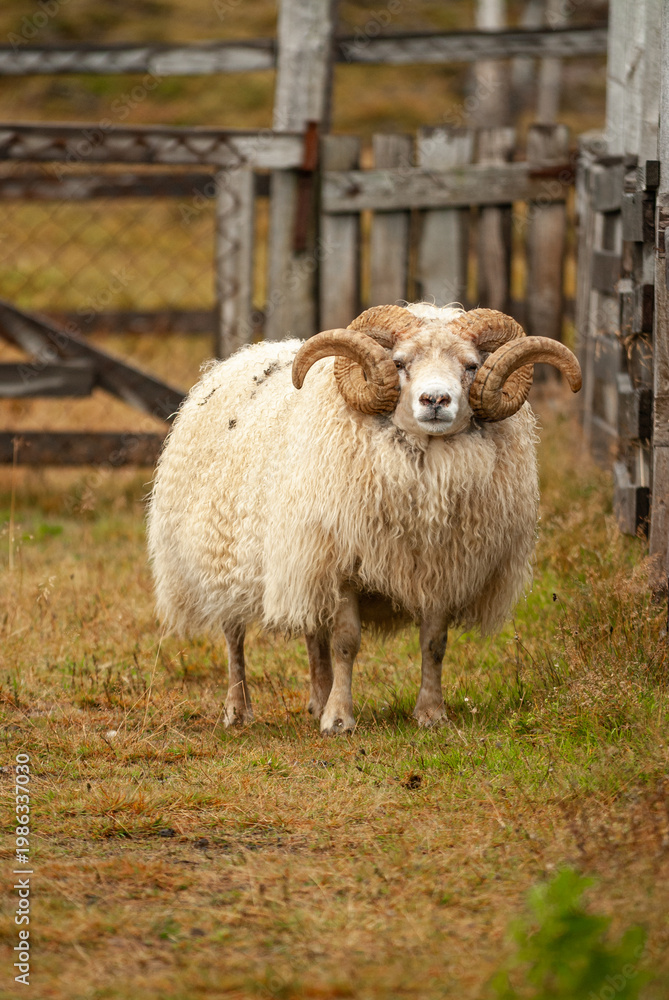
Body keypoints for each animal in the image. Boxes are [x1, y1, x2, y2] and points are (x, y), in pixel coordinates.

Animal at [147, 303, 581, 735]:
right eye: (400, 362)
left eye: (471, 365)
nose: (435, 400)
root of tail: (237, 358)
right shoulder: (343, 566)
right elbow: (345, 643)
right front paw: (339, 719)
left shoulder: (439, 568)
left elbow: (434, 644)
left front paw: (431, 713)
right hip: (223, 561)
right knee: (234, 637)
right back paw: (238, 710)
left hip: (305, 560)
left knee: (312, 631)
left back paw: (316, 699)